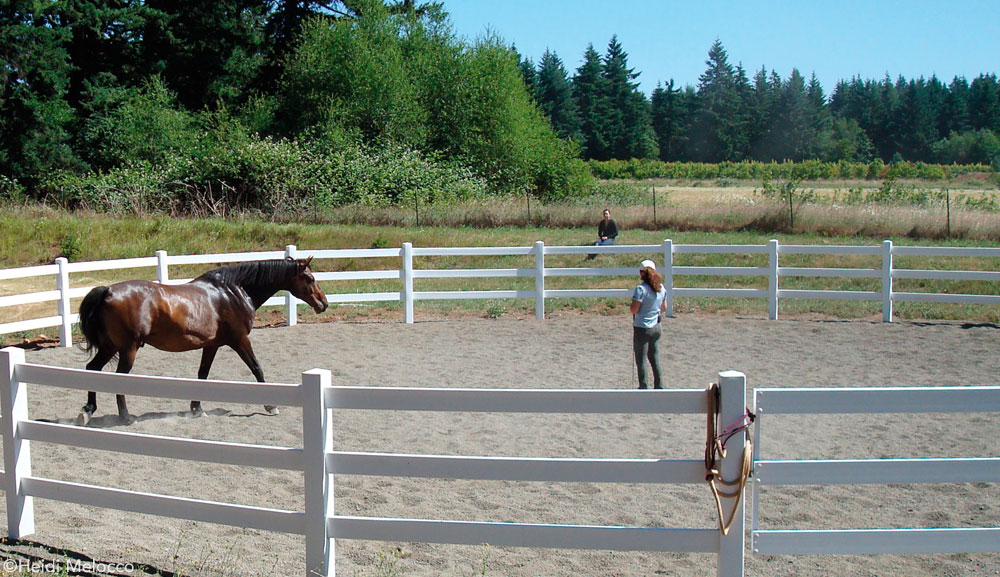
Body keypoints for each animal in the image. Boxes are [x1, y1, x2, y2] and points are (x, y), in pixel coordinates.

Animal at [79, 256, 328, 424]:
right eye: (309, 278)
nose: (323, 303)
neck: (232, 292)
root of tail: (108, 291)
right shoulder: (240, 340)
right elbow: (257, 368)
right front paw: (271, 405)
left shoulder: (211, 345)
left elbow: (202, 374)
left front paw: (197, 408)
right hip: (128, 348)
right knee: (118, 377)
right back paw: (125, 416)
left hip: (111, 347)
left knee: (92, 369)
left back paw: (88, 410)